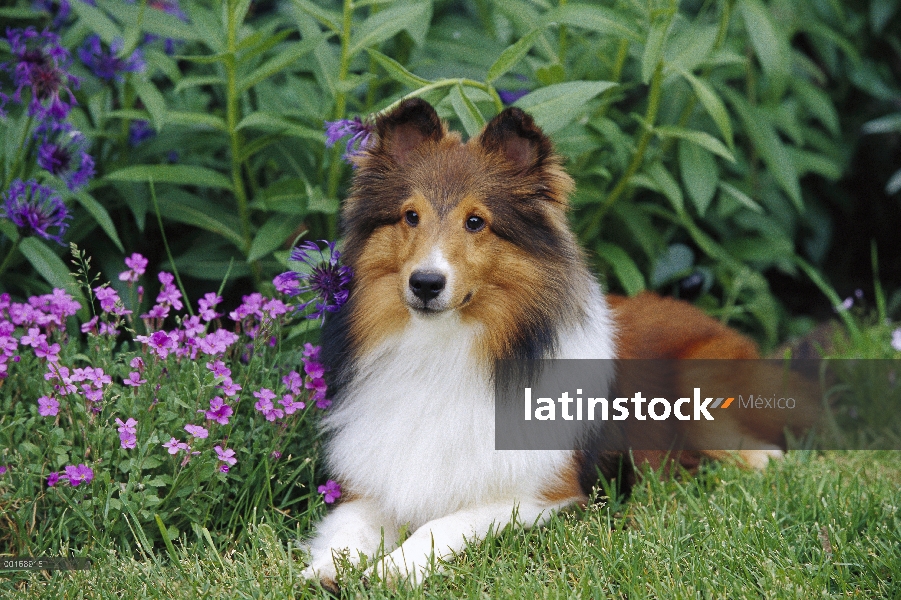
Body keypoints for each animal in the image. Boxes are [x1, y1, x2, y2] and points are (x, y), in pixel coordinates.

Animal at [300, 97, 788, 584]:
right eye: (411, 216)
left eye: (475, 222)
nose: (425, 283)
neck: (444, 351)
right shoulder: (371, 489)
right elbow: (350, 528)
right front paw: (328, 569)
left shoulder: (539, 497)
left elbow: (442, 525)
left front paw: (394, 569)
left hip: (700, 392)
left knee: (769, 458)